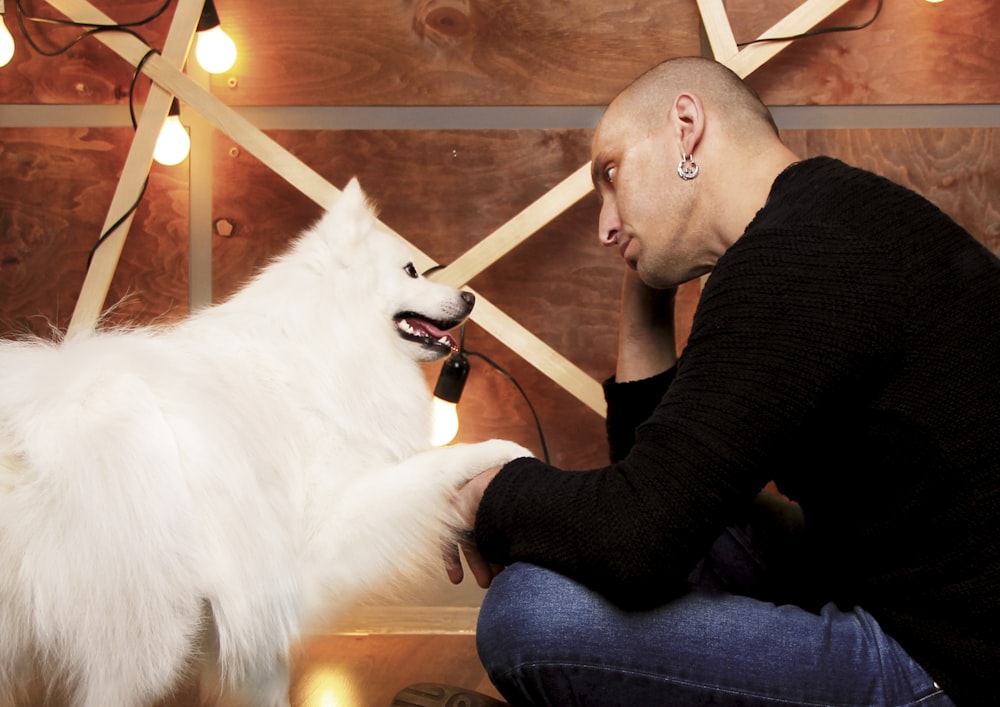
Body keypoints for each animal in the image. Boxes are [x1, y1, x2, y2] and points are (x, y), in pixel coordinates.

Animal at [0, 178, 532, 707]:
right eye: (410, 270)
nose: (470, 298)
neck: (327, 341)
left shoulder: (259, 589)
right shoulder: (320, 537)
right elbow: (431, 466)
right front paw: (505, 451)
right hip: (153, 634)